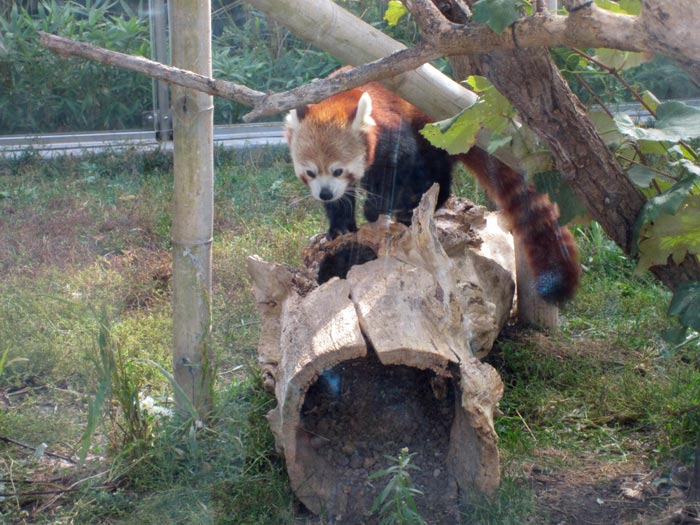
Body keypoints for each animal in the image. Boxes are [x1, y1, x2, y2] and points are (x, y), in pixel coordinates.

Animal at [284, 78, 580, 302]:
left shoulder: (393, 132)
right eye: (311, 173)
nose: (324, 193)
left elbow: (396, 172)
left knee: (434, 174)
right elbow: (345, 199)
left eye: (338, 170)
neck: (340, 99)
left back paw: (417, 207)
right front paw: (341, 226)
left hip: (440, 134)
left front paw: (375, 209)